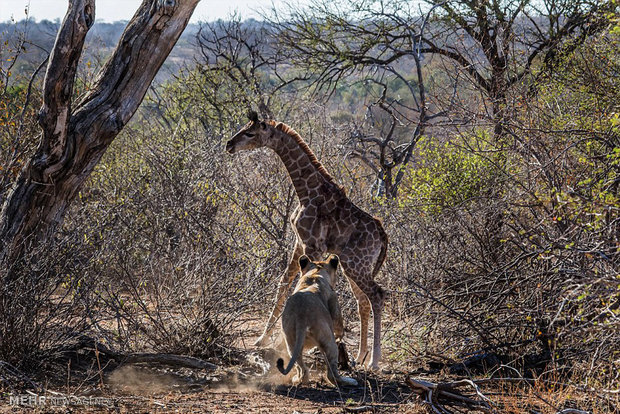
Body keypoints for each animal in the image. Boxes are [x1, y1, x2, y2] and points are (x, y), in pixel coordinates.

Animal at [225, 111, 388, 368]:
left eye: (250, 133)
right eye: (243, 128)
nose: (229, 144)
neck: (307, 191)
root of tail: (382, 234)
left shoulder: (313, 246)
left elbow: (303, 284)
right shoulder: (298, 242)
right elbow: (283, 284)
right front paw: (262, 339)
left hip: (356, 264)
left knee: (377, 296)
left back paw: (374, 360)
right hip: (354, 266)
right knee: (363, 300)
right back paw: (361, 356)